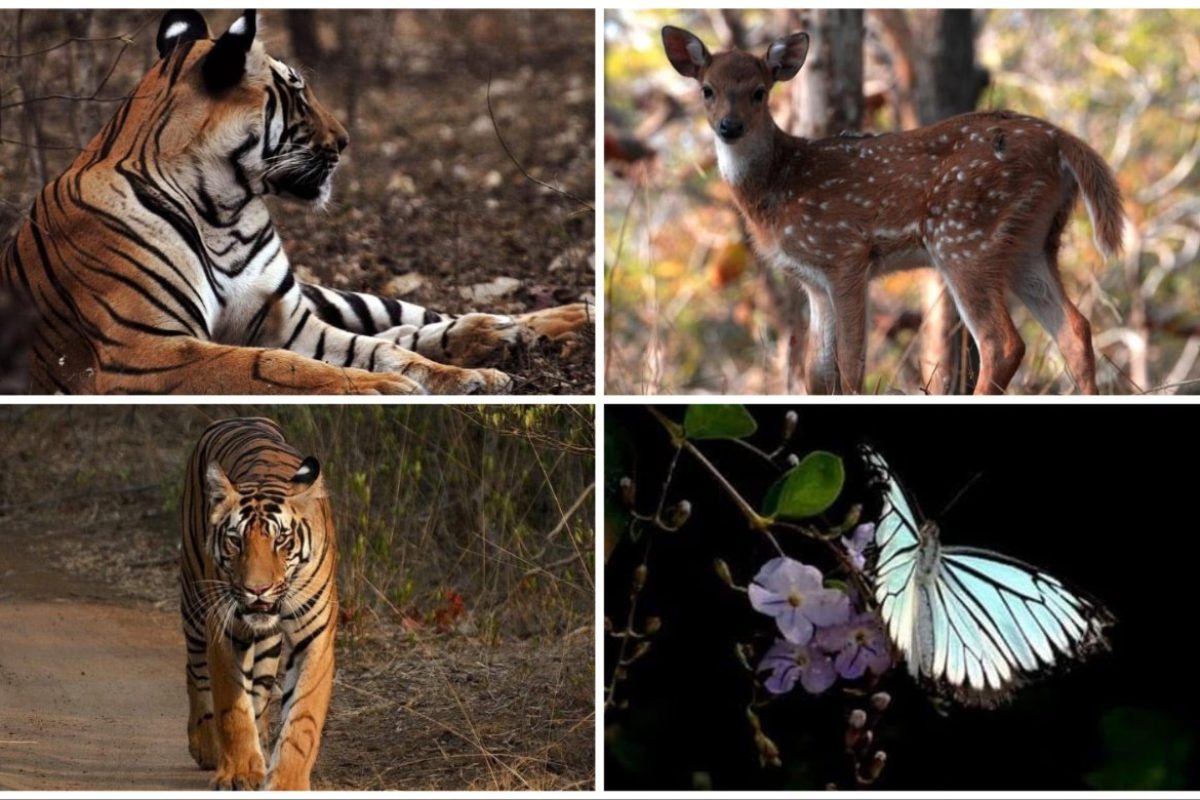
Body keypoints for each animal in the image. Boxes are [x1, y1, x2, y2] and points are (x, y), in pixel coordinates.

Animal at [0, 9, 591, 394]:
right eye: (299, 93)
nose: (346, 140)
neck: (222, 210)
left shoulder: (288, 321)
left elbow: (379, 350)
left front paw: (466, 379)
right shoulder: (145, 351)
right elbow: (271, 366)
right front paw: (383, 389)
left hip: (325, 296)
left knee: (409, 319)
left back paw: (539, 323)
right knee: (405, 328)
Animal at [181, 417, 337, 790]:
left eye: (281, 540)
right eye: (236, 540)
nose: (257, 590)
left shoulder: (315, 638)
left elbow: (302, 719)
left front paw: (287, 782)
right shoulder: (222, 627)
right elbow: (232, 707)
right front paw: (238, 772)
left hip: (267, 644)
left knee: (261, 691)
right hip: (194, 598)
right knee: (196, 671)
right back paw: (207, 745)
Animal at [662, 26, 1125, 395]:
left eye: (759, 92)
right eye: (707, 90)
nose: (730, 126)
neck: (778, 185)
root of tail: (1061, 140)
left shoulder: (844, 253)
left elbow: (850, 364)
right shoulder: (813, 281)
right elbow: (817, 374)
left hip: (964, 235)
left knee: (1003, 343)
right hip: (1031, 241)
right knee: (1075, 329)